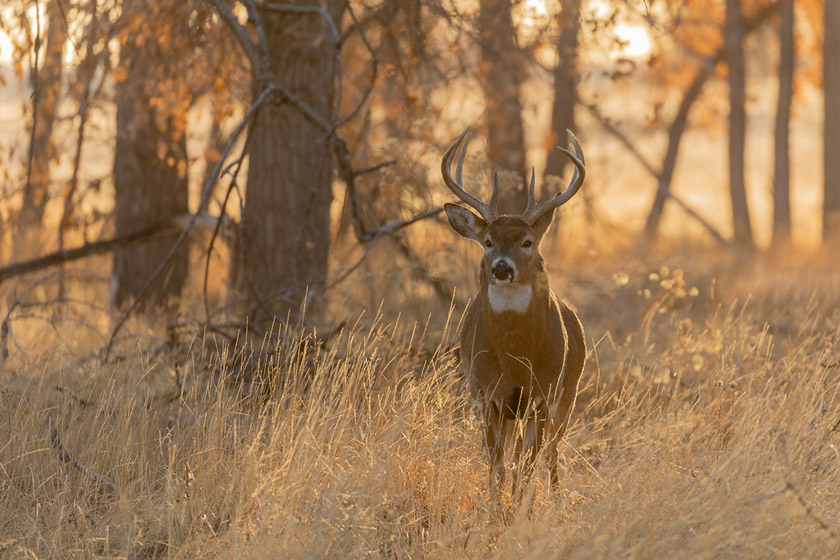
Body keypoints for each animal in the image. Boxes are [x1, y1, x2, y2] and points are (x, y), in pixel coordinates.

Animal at [442, 128, 588, 498]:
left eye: (527, 242)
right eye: (488, 241)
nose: (501, 268)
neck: (515, 357)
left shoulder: (542, 394)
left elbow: (526, 468)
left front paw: (522, 508)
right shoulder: (487, 394)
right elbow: (497, 468)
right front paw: (496, 509)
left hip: (568, 394)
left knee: (551, 452)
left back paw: (555, 497)